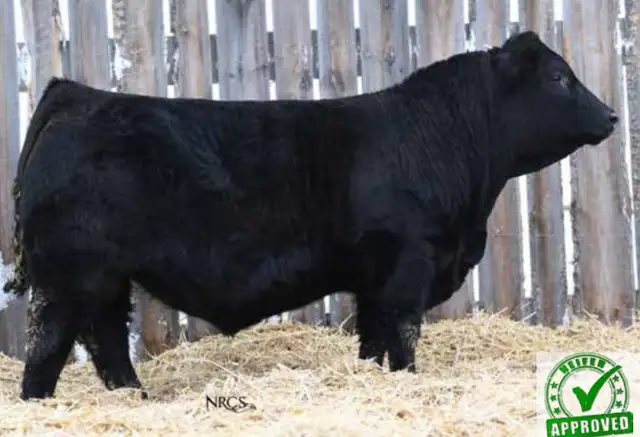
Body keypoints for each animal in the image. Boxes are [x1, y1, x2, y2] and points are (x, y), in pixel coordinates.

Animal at [4, 31, 618, 401]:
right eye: (559, 78)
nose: (612, 114)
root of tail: (74, 95)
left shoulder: (374, 278)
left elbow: (372, 337)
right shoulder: (408, 264)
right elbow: (403, 333)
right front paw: (408, 381)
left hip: (106, 277)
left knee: (105, 338)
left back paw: (135, 397)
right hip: (68, 274)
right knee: (49, 342)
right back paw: (41, 403)